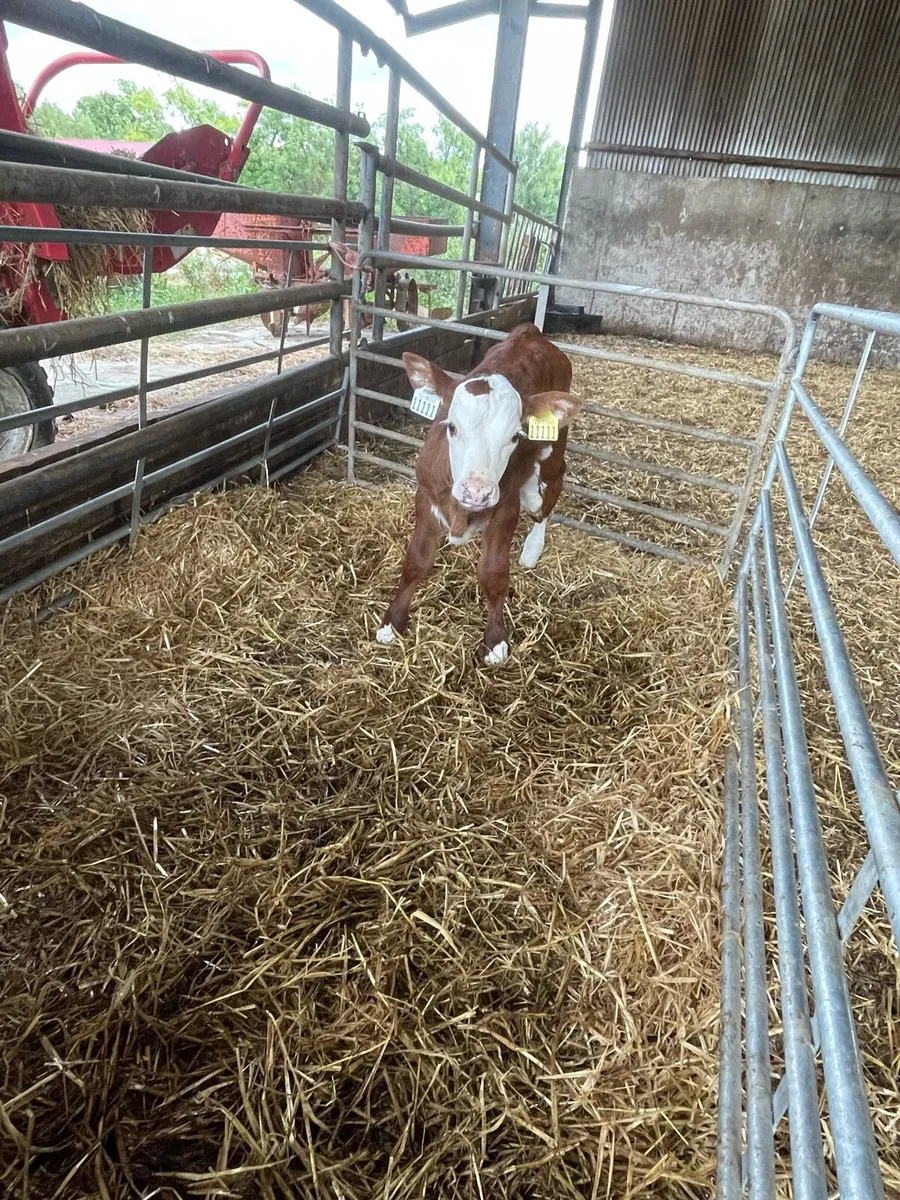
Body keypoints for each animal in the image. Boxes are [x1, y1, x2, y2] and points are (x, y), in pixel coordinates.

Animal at [375, 322, 582, 664]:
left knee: (549, 495)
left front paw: (496, 639)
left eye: (515, 436)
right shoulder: (426, 497)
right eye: (451, 427)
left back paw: (532, 549)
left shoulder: (505, 507)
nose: (476, 491)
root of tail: (530, 332)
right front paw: (393, 621)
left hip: (552, 453)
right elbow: (416, 561)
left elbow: (494, 574)